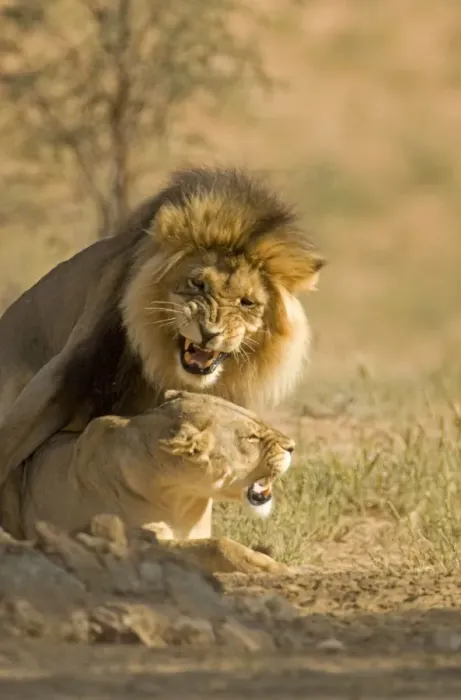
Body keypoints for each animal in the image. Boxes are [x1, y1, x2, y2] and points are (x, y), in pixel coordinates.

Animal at [1, 390, 295, 574]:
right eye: (251, 437)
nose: (292, 446)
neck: (183, 500)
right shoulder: (130, 544)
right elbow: (216, 545)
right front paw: (274, 568)